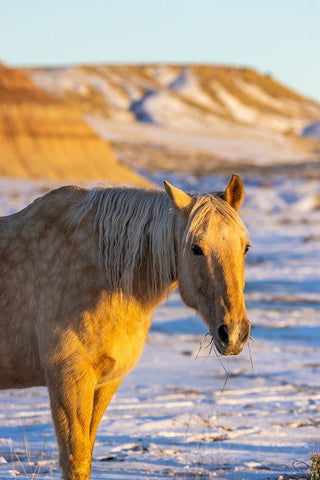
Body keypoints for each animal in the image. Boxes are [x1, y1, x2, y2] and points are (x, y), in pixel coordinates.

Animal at [0, 174, 250, 478]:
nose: (234, 333)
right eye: (196, 249)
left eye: (245, 247)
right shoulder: (67, 378)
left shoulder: (106, 382)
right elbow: (76, 461)